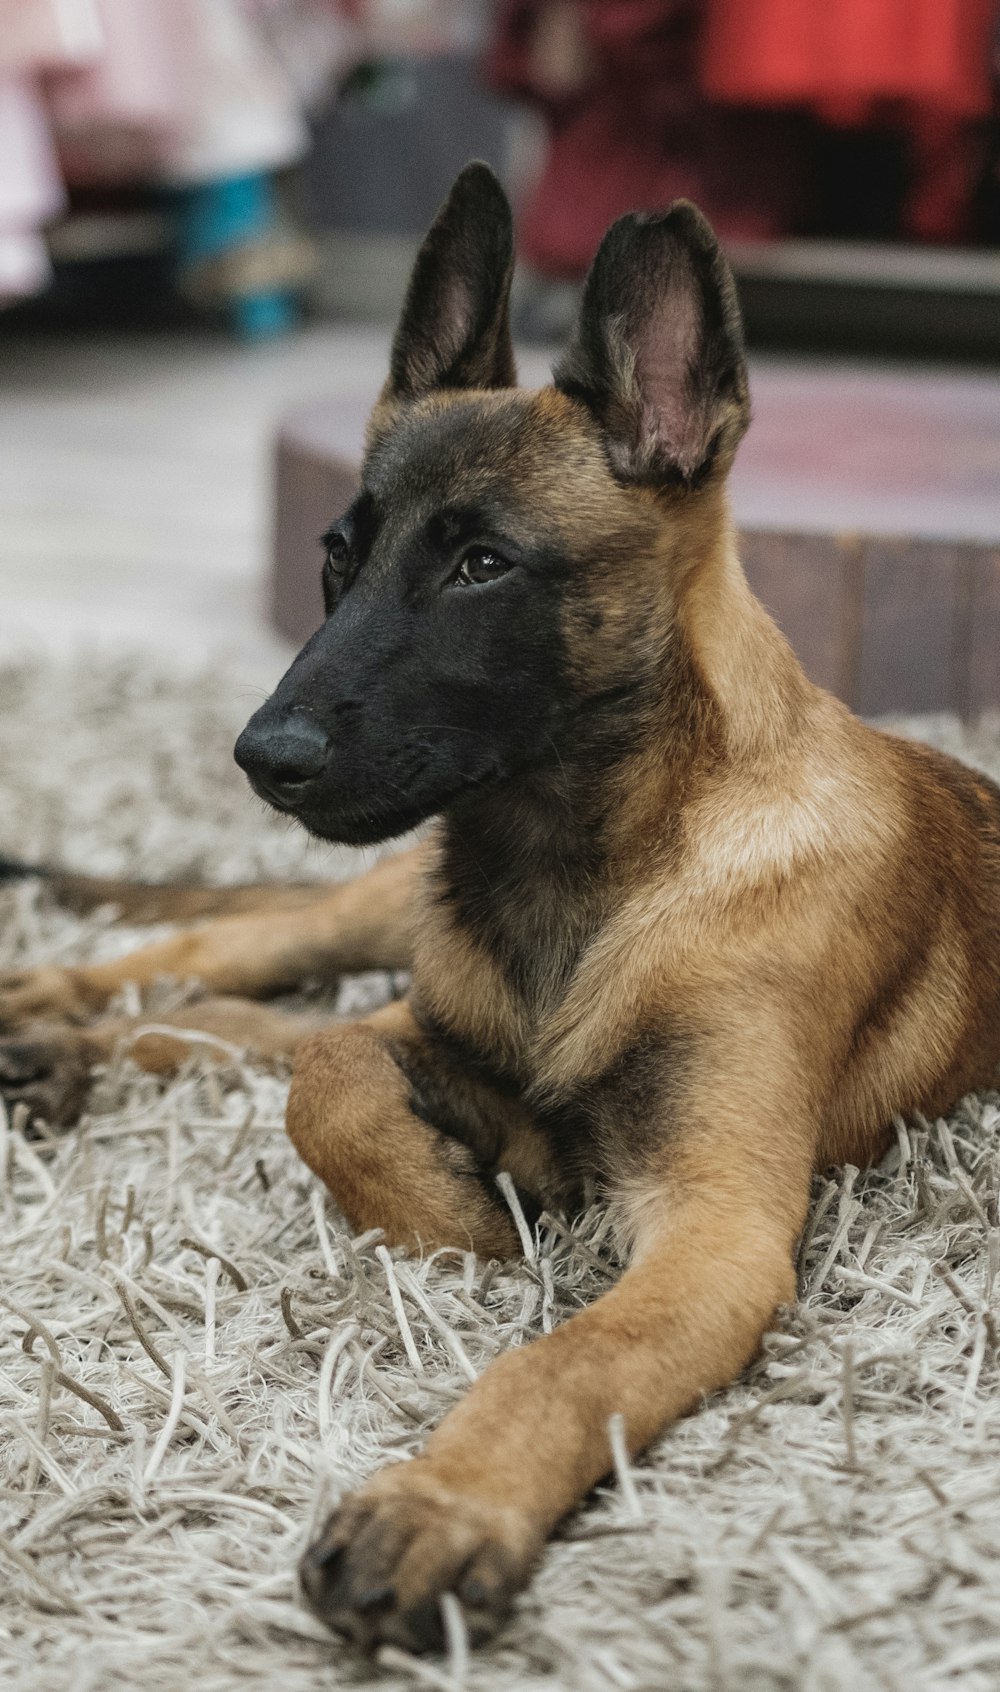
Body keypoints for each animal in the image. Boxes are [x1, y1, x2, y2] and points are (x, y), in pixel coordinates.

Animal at [1, 161, 1000, 1651]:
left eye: (482, 566)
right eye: (338, 554)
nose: (263, 756)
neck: (598, 864)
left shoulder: (716, 1230)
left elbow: (564, 1358)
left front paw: (437, 1507)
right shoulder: (442, 1032)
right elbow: (331, 1072)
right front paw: (464, 1221)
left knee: (248, 1024)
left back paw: (62, 1058)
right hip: (375, 909)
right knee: (227, 963)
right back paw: (48, 1014)